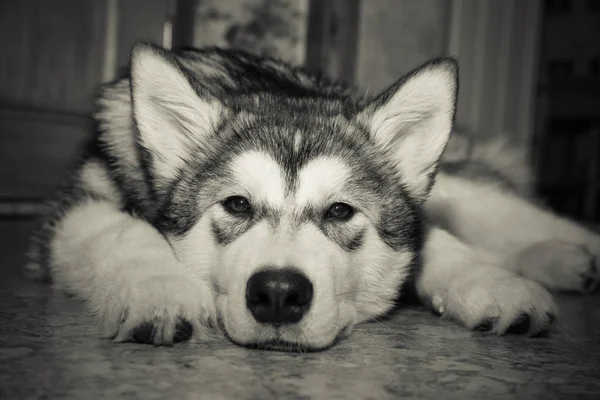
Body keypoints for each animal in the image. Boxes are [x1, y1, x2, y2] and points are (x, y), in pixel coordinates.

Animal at [24, 41, 600, 350]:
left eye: (340, 210)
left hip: (463, 190)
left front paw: (491, 283)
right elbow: (124, 230)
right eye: (236, 204)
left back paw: (568, 254)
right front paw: (159, 290)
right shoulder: (78, 207)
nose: (279, 293)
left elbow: (437, 242)